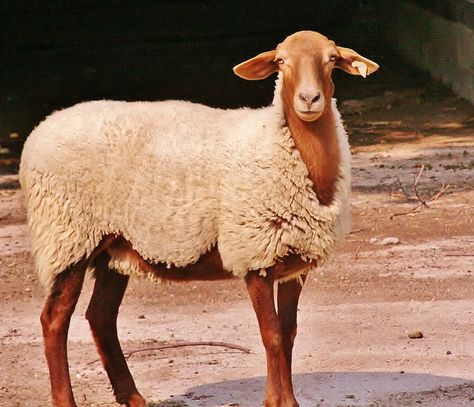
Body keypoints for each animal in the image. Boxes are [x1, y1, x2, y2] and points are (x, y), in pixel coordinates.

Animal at [20, 31, 380, 407]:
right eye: (281, 61)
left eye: (331, 59)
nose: (309, 99)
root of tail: (40, 129)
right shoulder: (253, 255)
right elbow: (271, 336)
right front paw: (275, 400)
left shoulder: (293, 261)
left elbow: (289, 334)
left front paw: (288, 401)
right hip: (67, 237)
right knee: (54, 321)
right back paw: (67, 399)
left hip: (111, 246)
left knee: (100, 316)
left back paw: (132, 396)